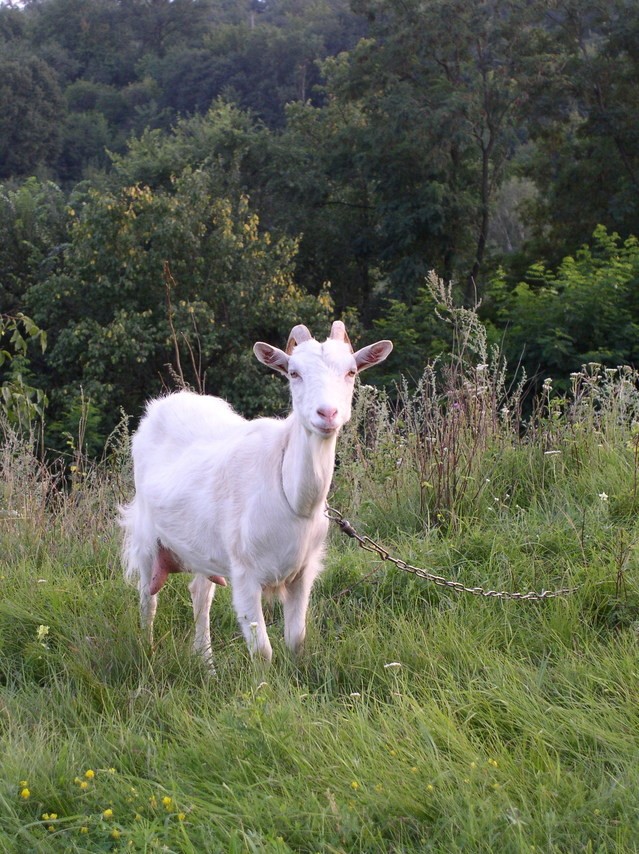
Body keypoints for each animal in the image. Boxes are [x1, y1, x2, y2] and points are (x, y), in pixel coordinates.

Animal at [119, 320, 390, 664]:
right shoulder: (245, 574)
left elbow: (296, 639)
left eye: (351, 371)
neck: (293, 499)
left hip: (202, 544)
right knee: (147, 597)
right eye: (293, 373)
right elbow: (262, 650)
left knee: (200, 594)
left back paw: (206, 664)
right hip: (145, 536)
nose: (327, 414)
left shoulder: (302, 573)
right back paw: (148, 649)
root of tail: (166, 402)